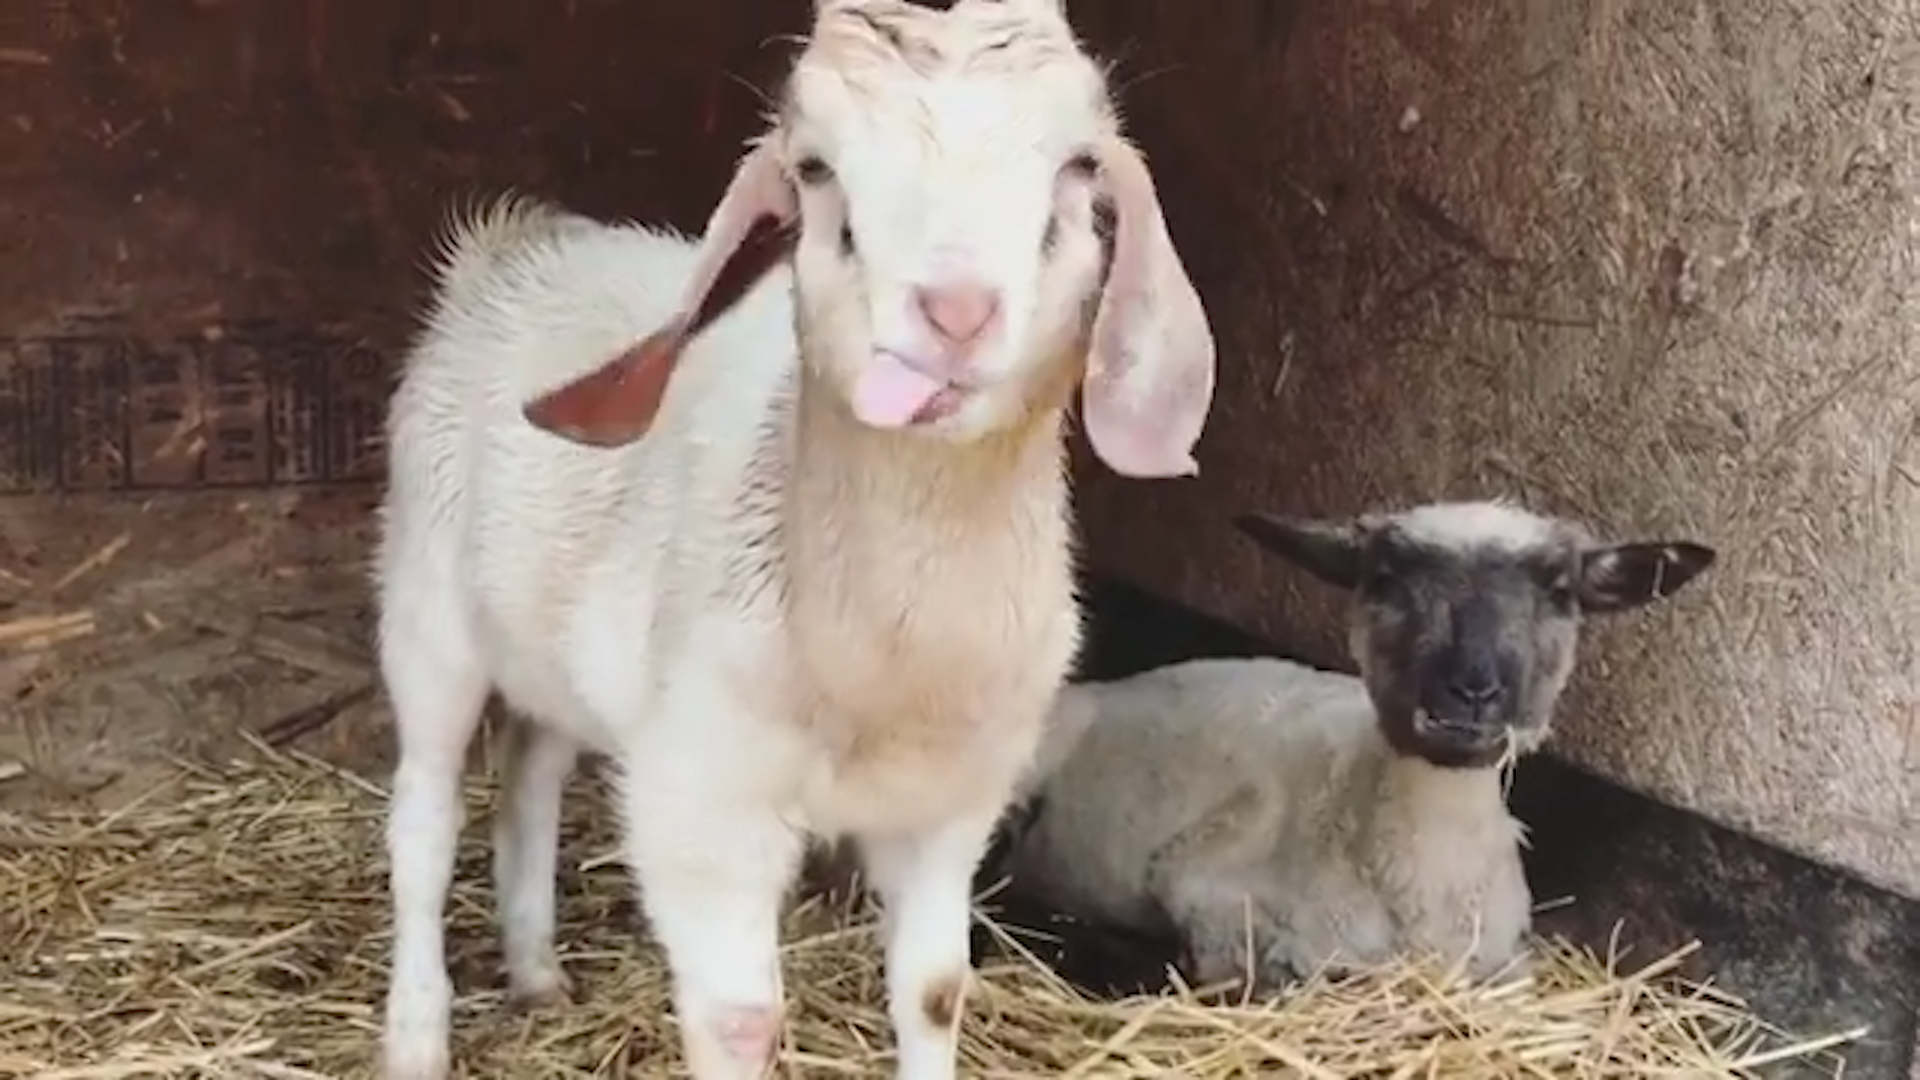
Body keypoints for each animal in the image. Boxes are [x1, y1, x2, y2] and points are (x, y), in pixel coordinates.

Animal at [371, 1, 1216, 1078]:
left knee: (532, 772)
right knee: (424, 820)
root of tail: (516, 243)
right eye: (816, 170)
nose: (955, 314)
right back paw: (415, 1035)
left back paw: (536, 972)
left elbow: (936, 990)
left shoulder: (951, 804)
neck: (884, 667)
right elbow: (740, 1018)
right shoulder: (701, 802)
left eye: (1078, 166)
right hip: (424, 599)